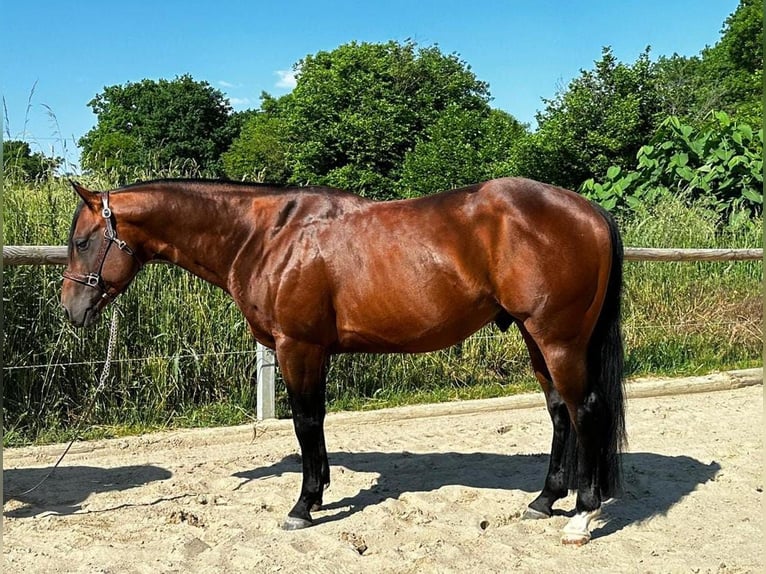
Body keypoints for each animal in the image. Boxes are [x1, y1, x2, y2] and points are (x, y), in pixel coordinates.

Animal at [61, 176, 626, 545]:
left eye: (84, 241)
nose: (71, 309)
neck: (267, 237)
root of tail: (590, 211)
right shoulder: (312, 351)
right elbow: (316, 422)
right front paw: (320, 493)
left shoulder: (297, 346)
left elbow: (305, 422)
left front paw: (303, 506)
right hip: (536, 338)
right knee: (559, 413)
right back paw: (544, 500)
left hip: (558, 339)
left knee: (586, 411)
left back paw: (582, 515)